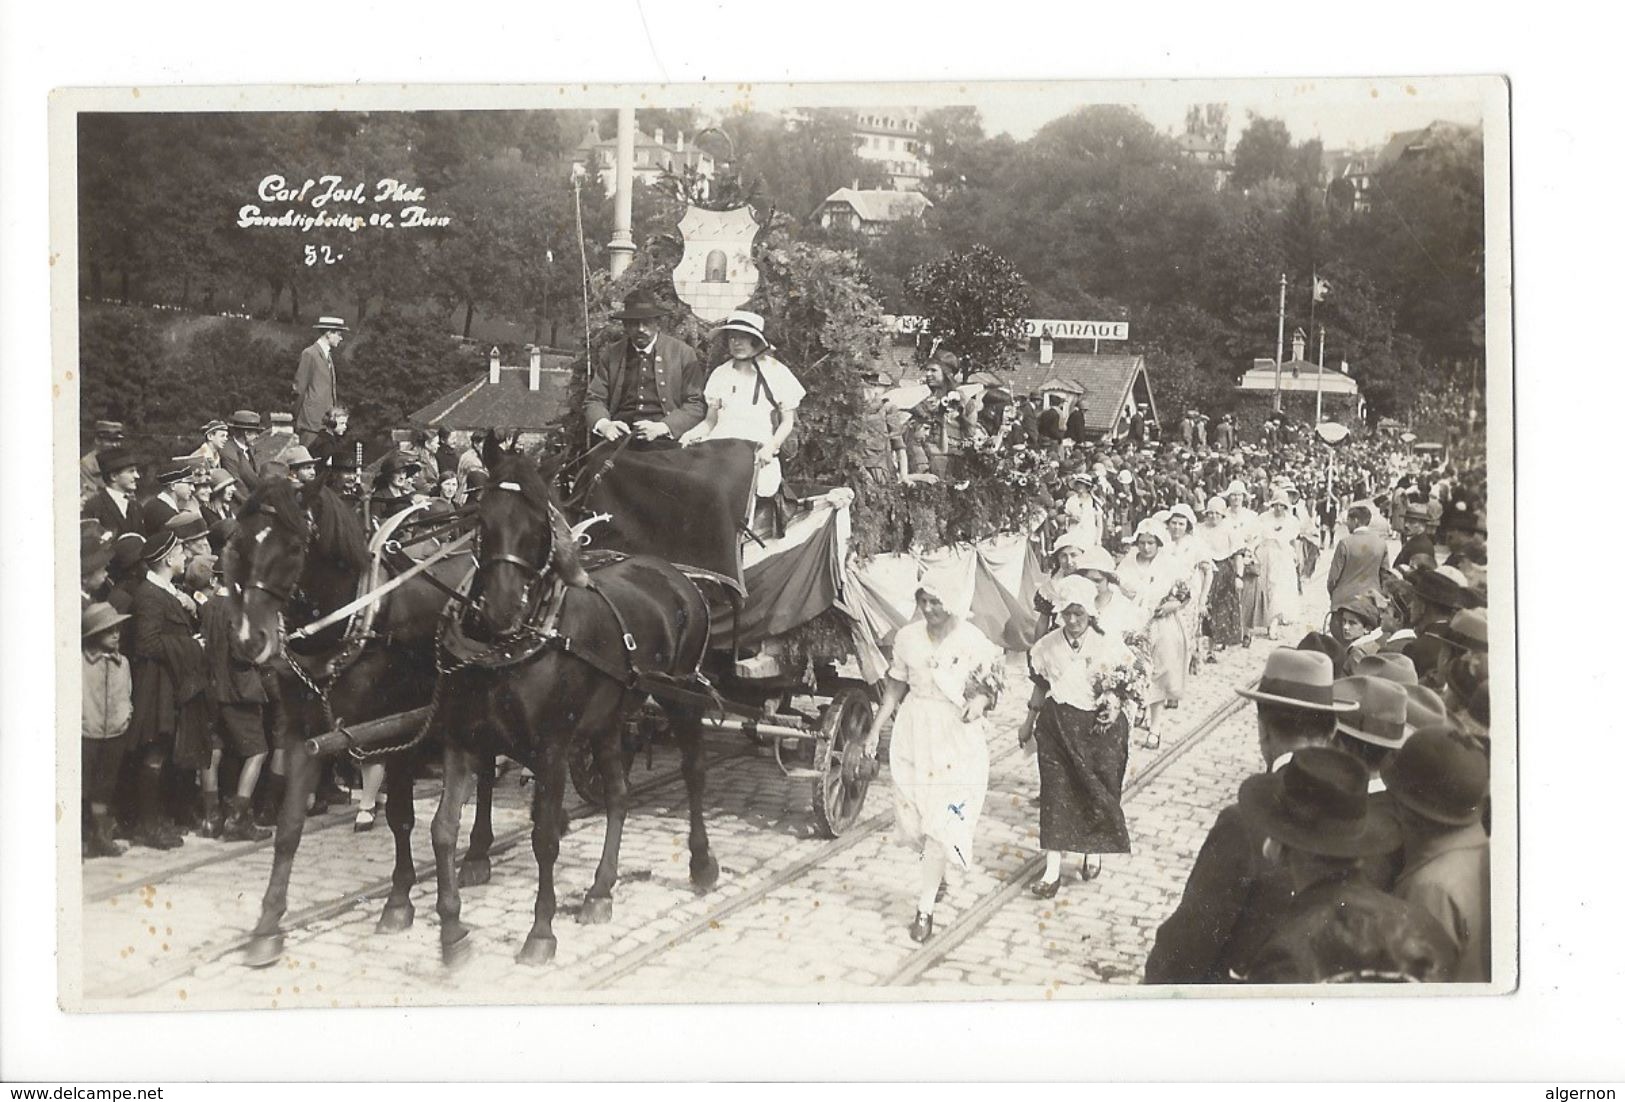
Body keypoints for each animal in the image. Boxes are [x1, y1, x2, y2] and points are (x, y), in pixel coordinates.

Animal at [227, 481, 494, 968]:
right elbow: (292, 828)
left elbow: (407, 817)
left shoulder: (401, 729)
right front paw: (268, 925)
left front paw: (410, 904)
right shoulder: (307, 735)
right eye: (238, 543)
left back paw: (482, 852)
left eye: (294, 548)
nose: (248, 640)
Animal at [429, 445, 715, 968]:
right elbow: (443, 829)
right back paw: (600, 891)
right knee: (619, 795)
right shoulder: (461, 737)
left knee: (694, 772)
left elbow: (545, 837)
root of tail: (677, 574)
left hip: (681, 696)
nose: (501, 607)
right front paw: (453, 929)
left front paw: (541, 932)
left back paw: (702, 863)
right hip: (608, 721)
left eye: (540, 524)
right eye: (482, 518)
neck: (508, 646)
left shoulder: (552, 748)